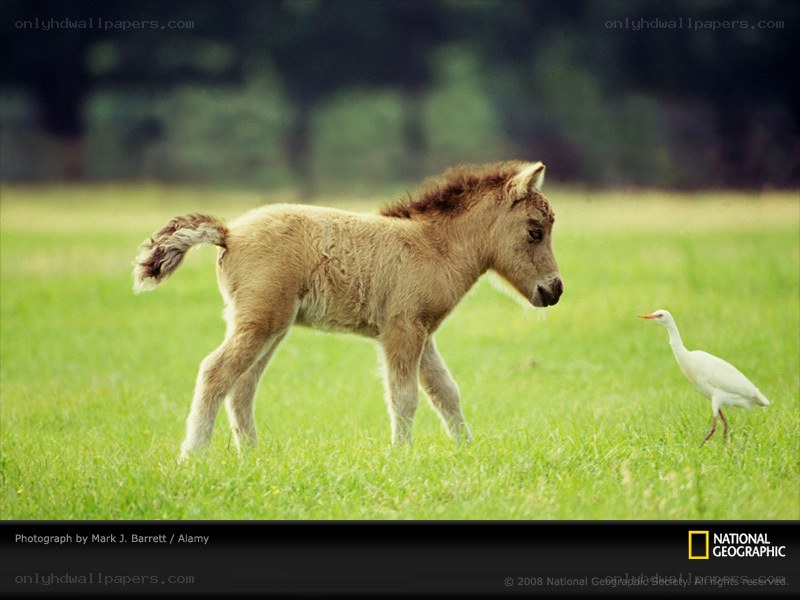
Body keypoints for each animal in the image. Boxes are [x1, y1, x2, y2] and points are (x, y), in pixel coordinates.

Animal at [133, 161, 563, 460]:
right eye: (535, 230)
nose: (554, 290)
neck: (434, 248)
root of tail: (229, 233)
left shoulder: (422, 333)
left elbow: (446, 392)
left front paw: (466, 450)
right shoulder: (402, 330)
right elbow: (404, 397)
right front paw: (401, 457)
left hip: (270, 327)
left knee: (242, 387)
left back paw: (251, 455)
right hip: (259, 323)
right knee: (216, 372)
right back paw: (194, 454)